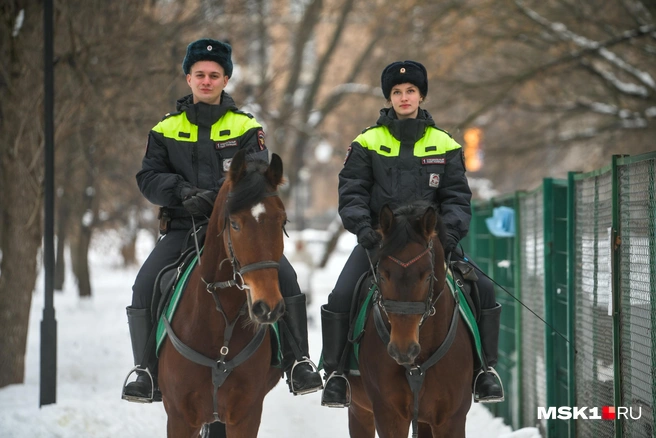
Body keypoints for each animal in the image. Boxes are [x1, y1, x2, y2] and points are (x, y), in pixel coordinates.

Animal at [348, 204, 472, 438]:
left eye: (427, 276)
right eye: (382, 275)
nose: (402, 350)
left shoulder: (451, 420)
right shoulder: (389, 416)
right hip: (359, 411)